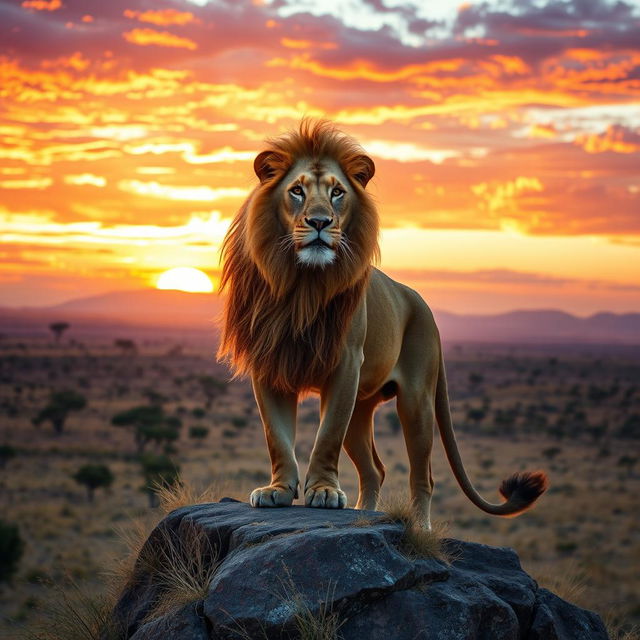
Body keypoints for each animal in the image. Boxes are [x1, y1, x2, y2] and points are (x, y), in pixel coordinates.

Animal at [219, 119, 544, 524]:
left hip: (416, 401)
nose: (319, 222)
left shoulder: (345, 363)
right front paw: (277, 490)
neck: (301, 285)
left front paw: (324, 491)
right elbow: (276, 436)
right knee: (375, 470)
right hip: (360, 406)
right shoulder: (269, 361)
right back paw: (363, 513)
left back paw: (419, 527)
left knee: (423, 476)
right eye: (296, 191)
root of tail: (421, 302)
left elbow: (327, 436)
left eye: (337, 192)